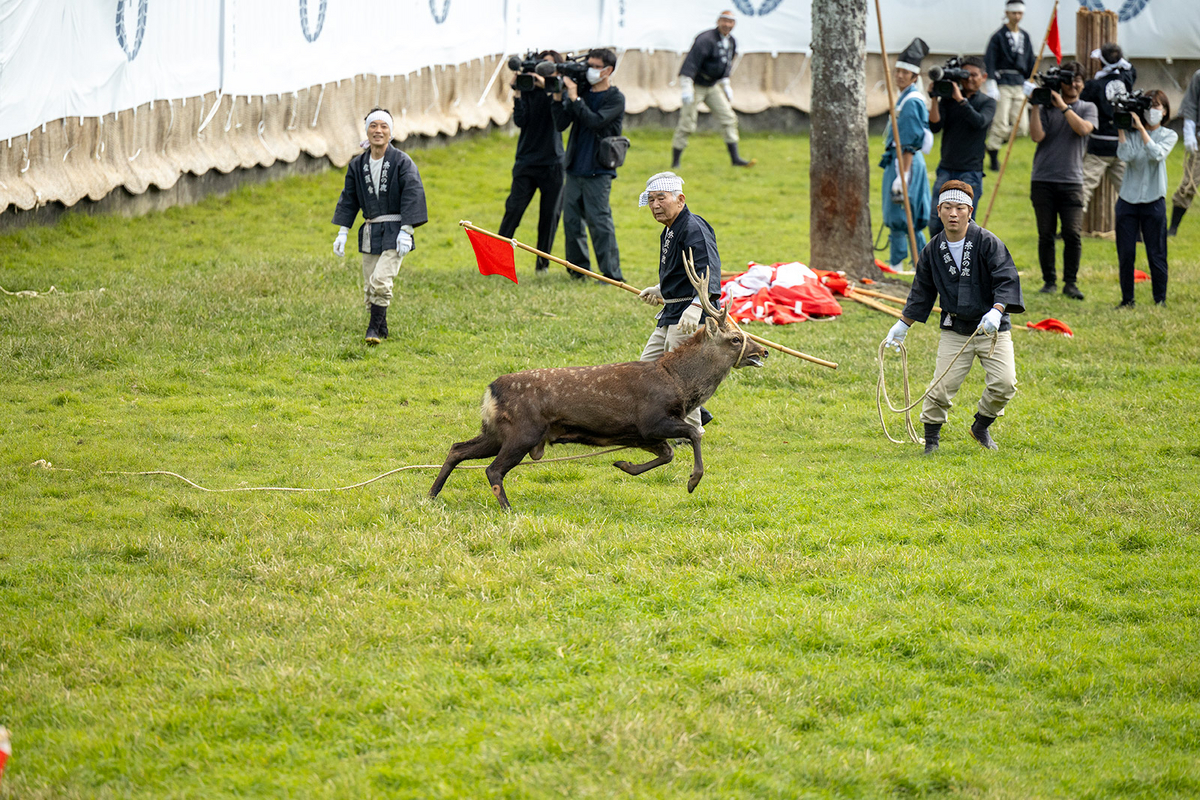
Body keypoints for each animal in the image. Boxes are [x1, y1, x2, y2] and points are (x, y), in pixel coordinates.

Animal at [432, 253, 768, 510]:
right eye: (736, 339)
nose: (762, 350)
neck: (679, 384)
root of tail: (490, 391)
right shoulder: (651, 419)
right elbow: (694, 433)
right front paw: (692, 481)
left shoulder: (640, 434)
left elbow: (668, 453)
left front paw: (624, 466)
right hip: (522, 430)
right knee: (493, 470)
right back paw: (507, 509)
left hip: (496, 431)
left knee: (457, 448)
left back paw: (431, 495)